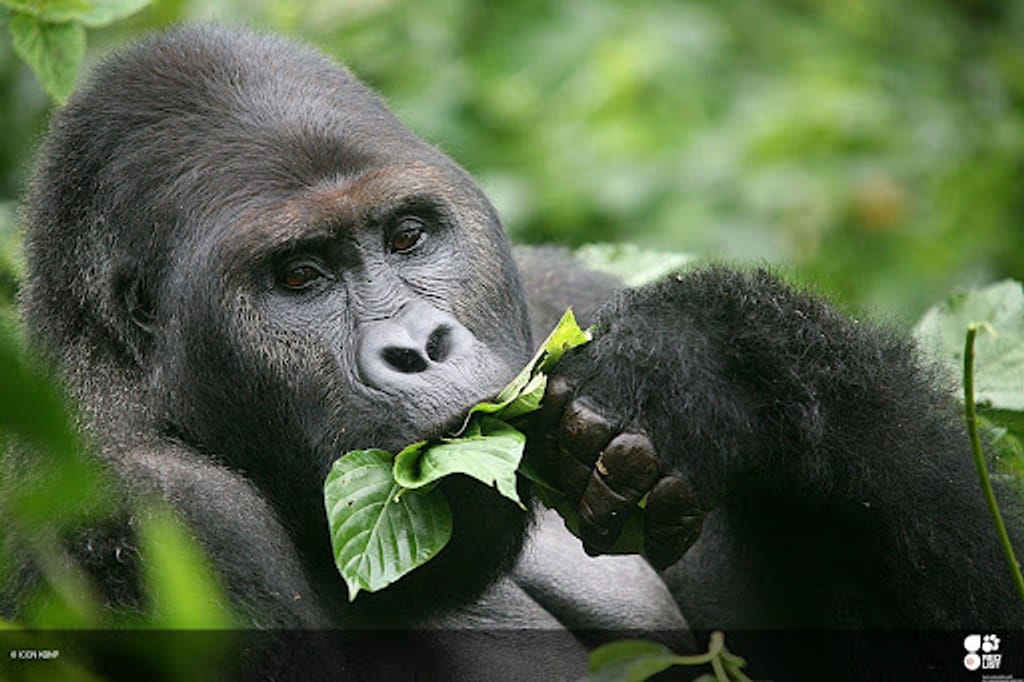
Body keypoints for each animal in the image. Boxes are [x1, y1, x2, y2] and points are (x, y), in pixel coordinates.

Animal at [4, 23, 1019, 675]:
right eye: (299, 277)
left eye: (408, 235)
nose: (420, 347)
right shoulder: (139, 513)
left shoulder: (562, 294)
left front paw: (715, 366)